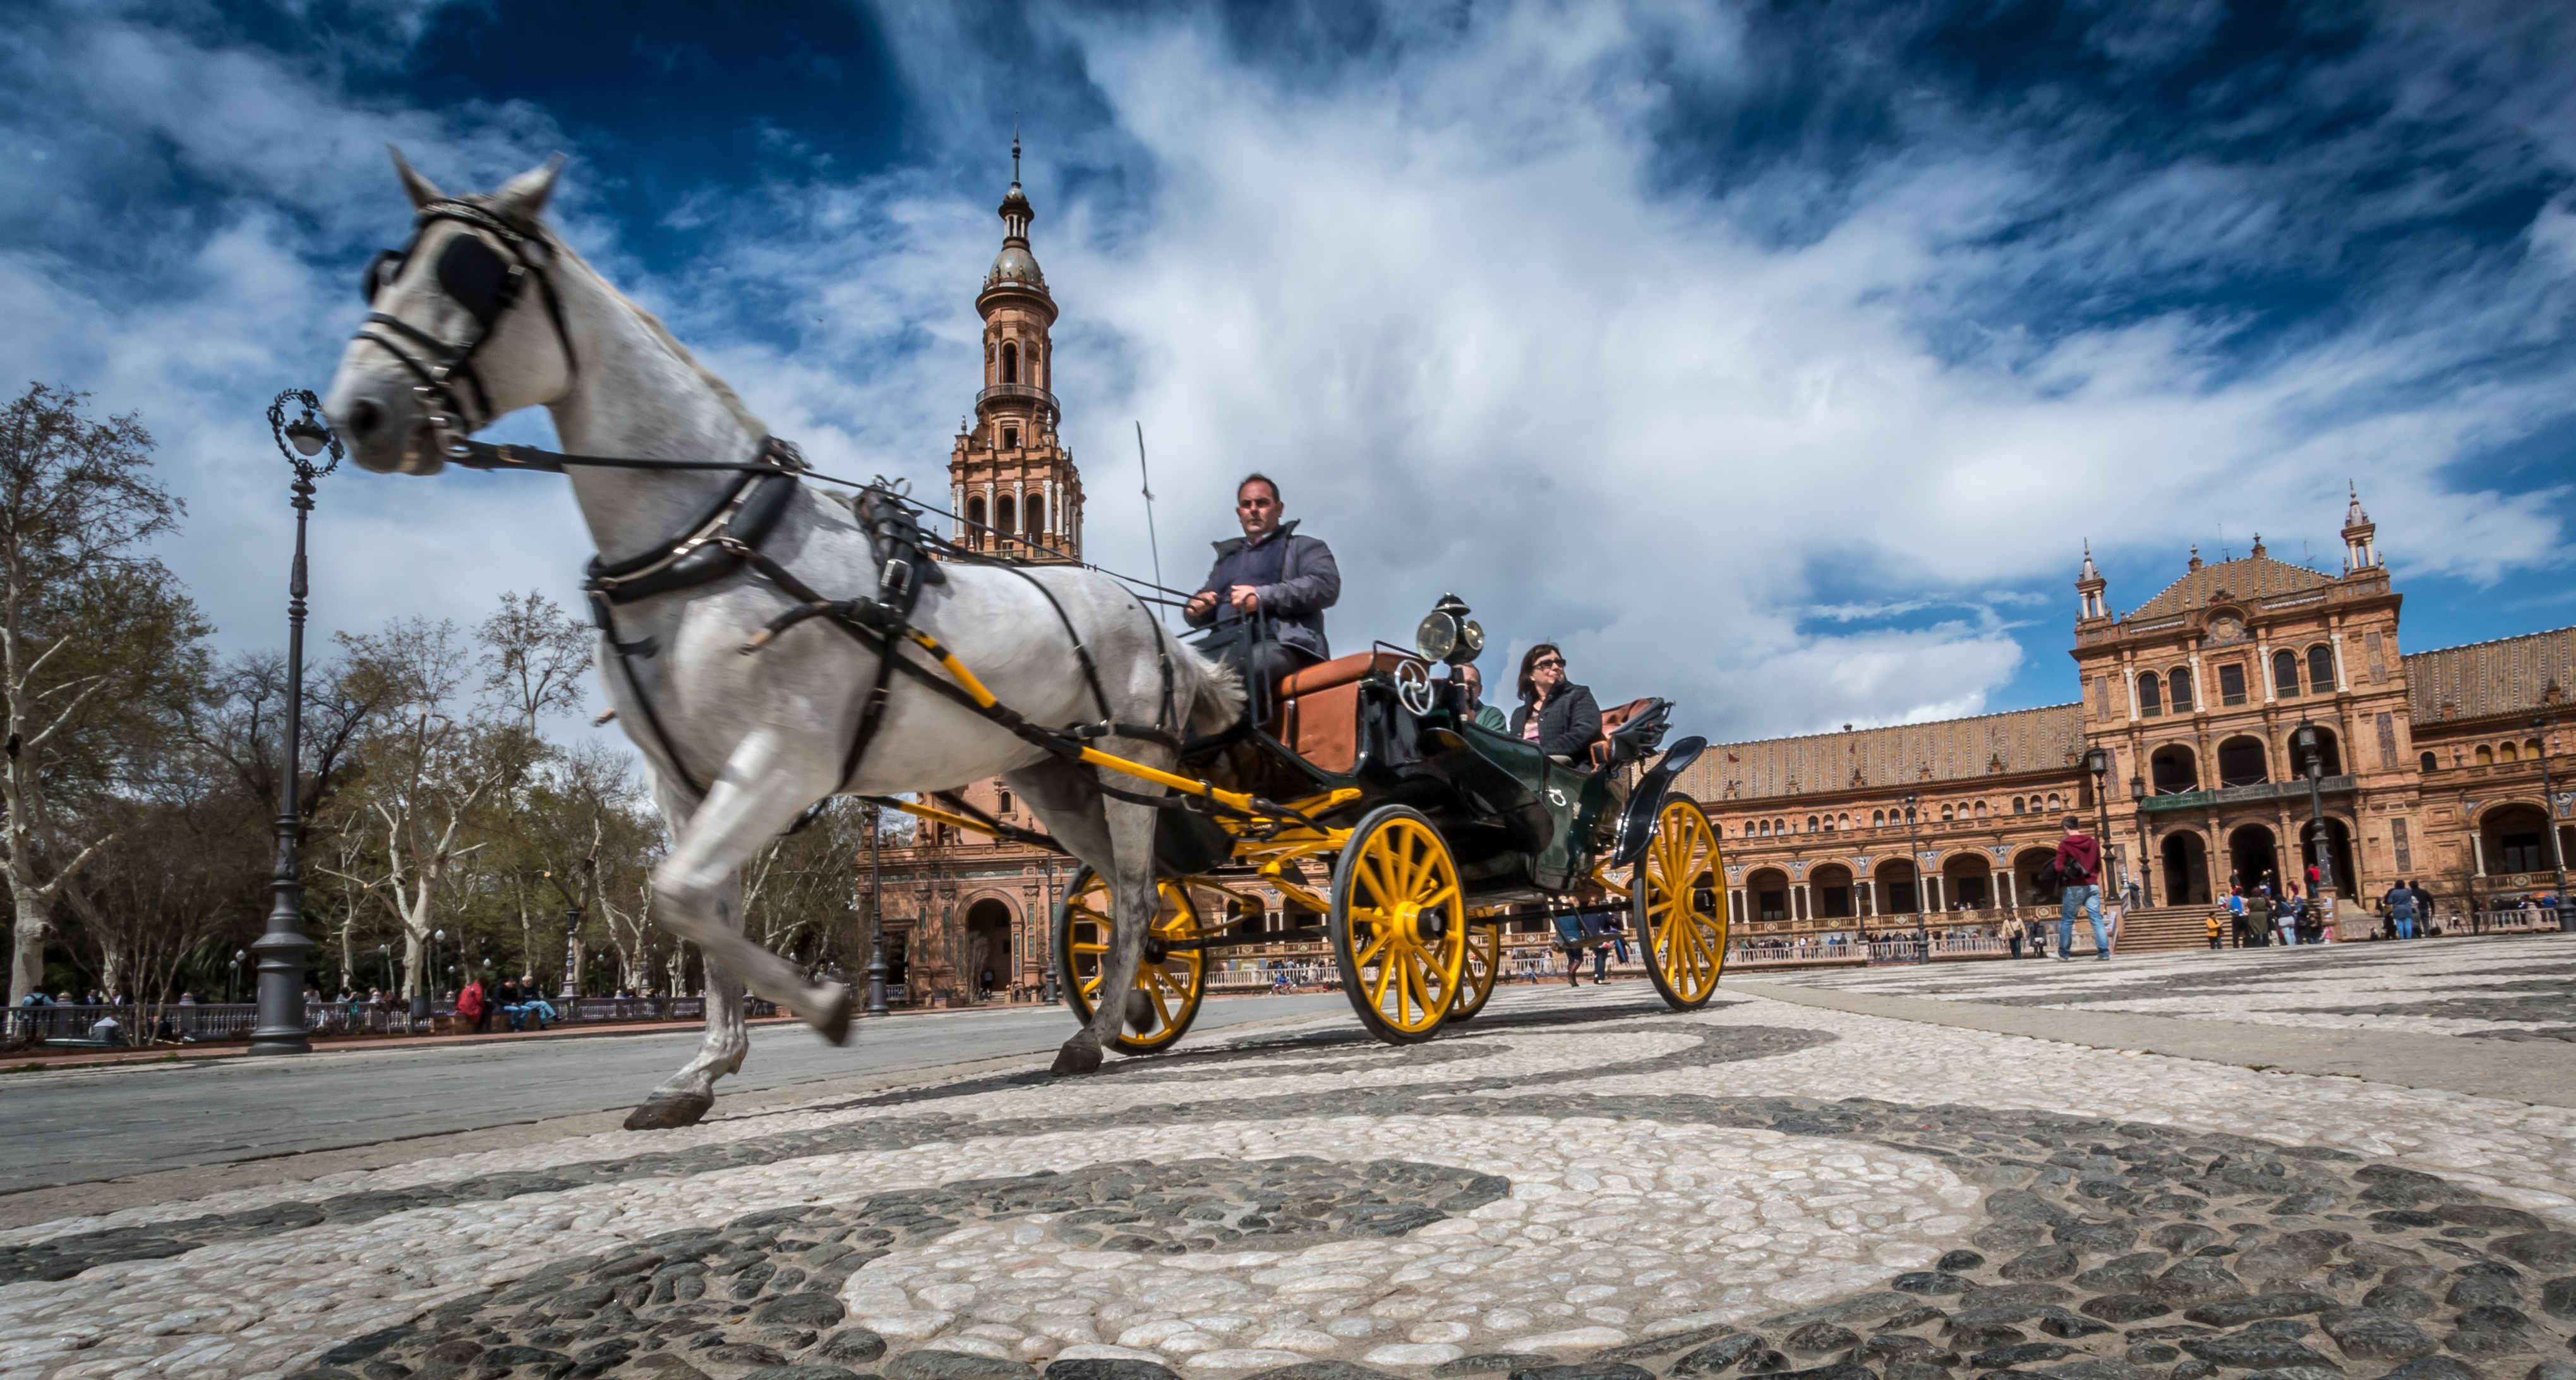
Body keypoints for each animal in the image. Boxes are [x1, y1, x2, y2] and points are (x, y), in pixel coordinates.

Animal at [327, 150, 1241, 1127]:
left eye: (470, 273)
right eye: (384, 272)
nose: (361, 412)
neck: (712, 538)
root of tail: (1154, 628)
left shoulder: (785, 757)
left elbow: (686, 898)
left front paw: (823, 1007)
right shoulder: (691, 781)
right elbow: (699, 909)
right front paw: (705, 1068)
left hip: (1125, 765)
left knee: (1137, 894)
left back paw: (1093, 1031)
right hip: (1061, 778)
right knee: (1130, 893)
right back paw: (1129, 1009)